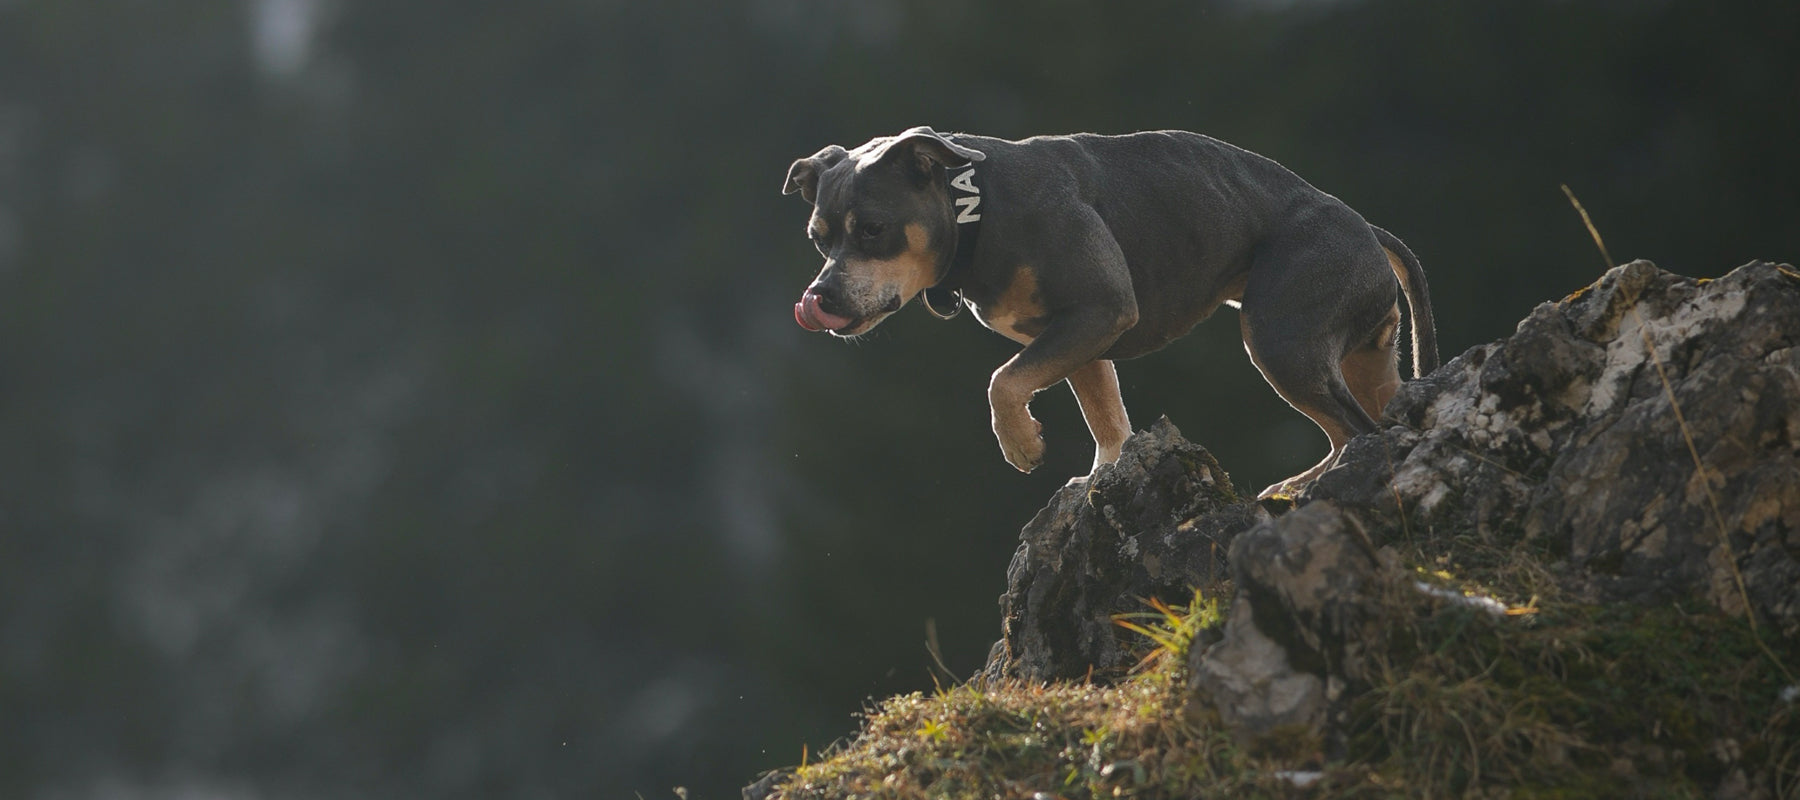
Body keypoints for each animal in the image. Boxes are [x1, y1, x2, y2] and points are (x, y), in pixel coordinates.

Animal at [781, 127, 1440, 497]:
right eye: (817, 239)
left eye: (873, 230)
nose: (822, 298)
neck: (974, 207)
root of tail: (1368, 229)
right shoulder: (1079, 339)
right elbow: (1105, 419)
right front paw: (1103, 477)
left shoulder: (1099, 310)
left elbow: (1002, 381)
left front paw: (1021, 446)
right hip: (1364, 358)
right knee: (1375, 421)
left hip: (1279, 336)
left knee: (1353, 429)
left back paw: (1307, 486)